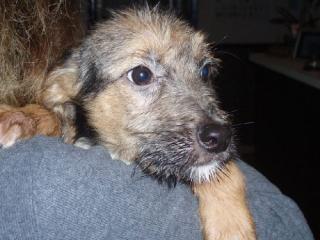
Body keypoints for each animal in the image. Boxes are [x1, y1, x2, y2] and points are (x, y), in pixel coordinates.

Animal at [0, 6, 255, 240]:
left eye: (205, 71)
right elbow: (55, 115)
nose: (221, 137)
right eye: (141, 75)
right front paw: (23, 117)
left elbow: (224, 172)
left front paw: (231, 225)